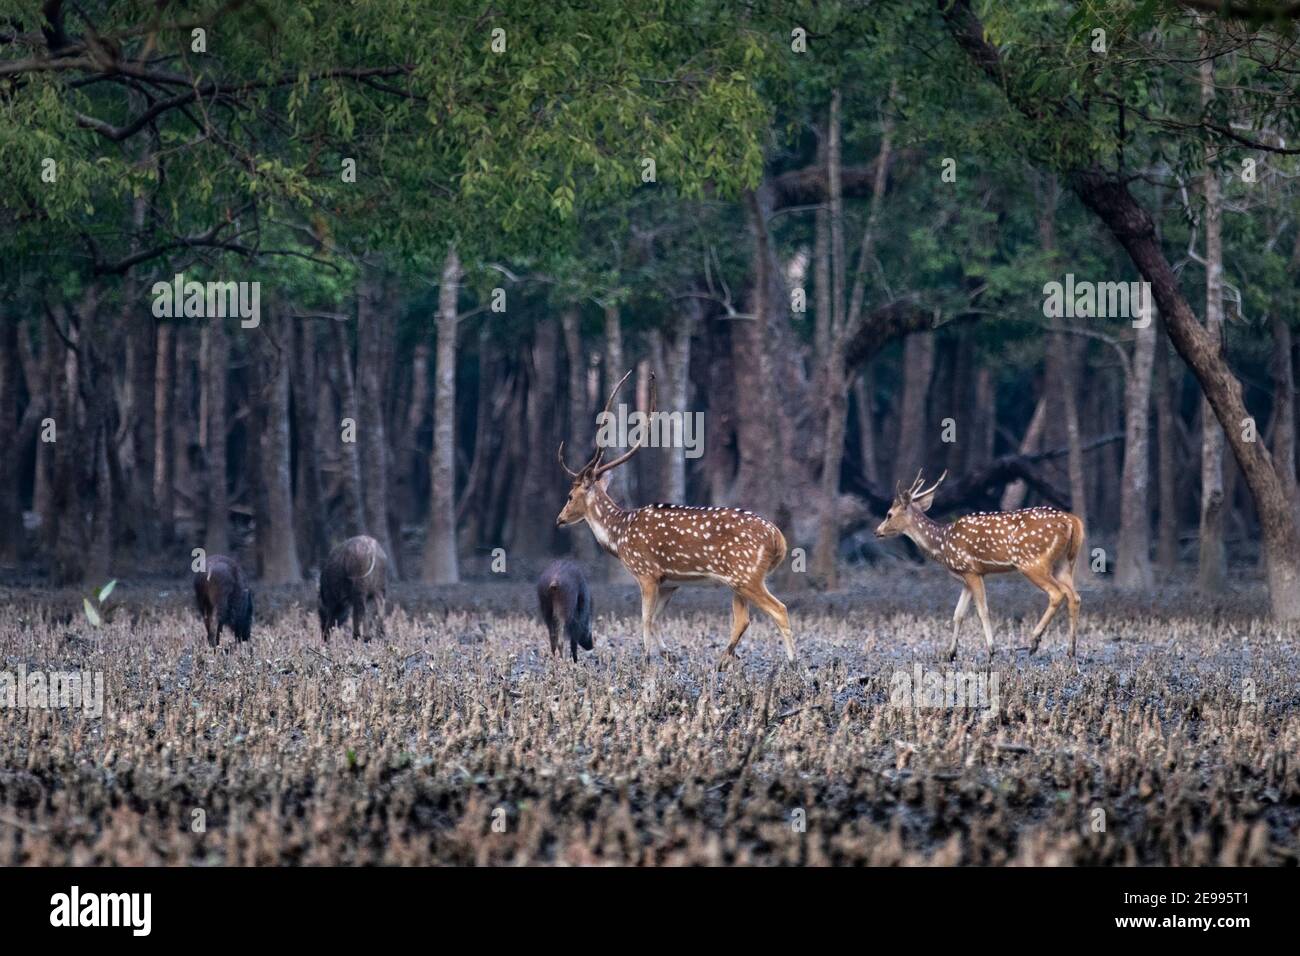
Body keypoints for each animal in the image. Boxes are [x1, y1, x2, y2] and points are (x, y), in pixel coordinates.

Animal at [551, 369, 790, 665]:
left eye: (569, 496)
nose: (559, 519)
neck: (619, 536)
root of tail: (779, 539)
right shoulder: (670, 582)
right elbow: (655, 620)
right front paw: (667, 654)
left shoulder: (646, 572)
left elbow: (644, 618)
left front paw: (645, 657)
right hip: (740, 581)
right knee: (742, 619)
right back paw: (722, 662)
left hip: (748, 575)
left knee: (779, 609)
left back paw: (791, 661)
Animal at [873, 468, 1086, 658]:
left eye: (889, 514)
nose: (877, 531)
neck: (942, 544)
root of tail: (1073, 521)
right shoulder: (967, 576)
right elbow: (958, 613)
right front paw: (950, 653)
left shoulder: (971, 570)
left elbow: (983, 610)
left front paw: (991, 649)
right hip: (1065, 563)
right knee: (1074, 596)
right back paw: (1071, 650)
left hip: (1032, 562)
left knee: (1057, 593)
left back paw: (1034, 641)